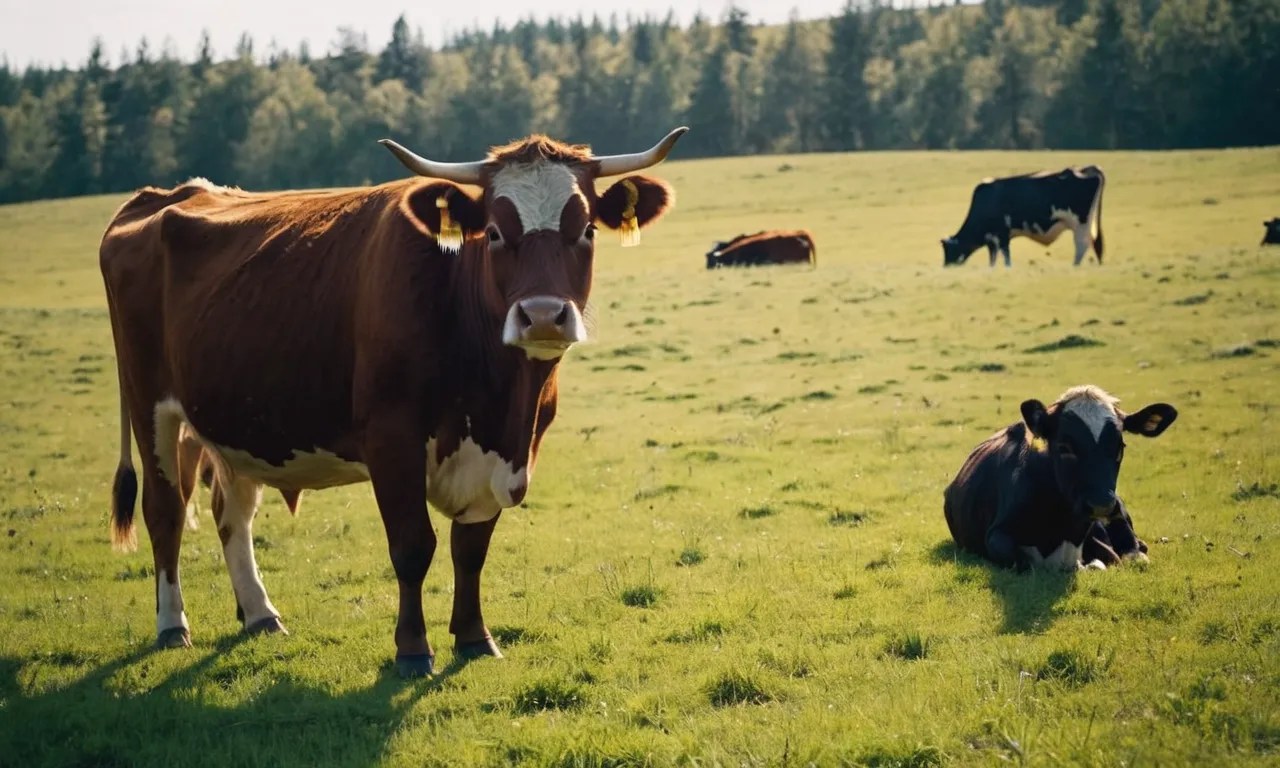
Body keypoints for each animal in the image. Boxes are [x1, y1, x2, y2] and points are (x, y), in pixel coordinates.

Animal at [100, 127, 687, 677]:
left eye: (586, 230)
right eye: (496, 233)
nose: (543, 315)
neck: (497, 396)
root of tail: (164, 196)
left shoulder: (509, 451)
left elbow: (470, 549)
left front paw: (474, 638)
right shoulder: (390, 439)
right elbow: (412, 547)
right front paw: (412, 650)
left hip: (232, 421)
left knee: (232, 512)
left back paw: (261, 614)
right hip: (150, 403)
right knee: (165, 510)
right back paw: (172, 625)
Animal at [942, 166, 1105, 267]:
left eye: (949, 251)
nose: (946, 266)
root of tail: (1085, 170)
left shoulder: (1002, 234)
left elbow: (1005, 255)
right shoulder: (992, 238)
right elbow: (993, 257)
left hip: (1080, 224)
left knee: (1082, 245)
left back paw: (1074, 266)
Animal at [943, 385, 1176, 572]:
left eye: (1120, 446)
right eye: (1064, 447)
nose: (1100, 503)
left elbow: (1110, 558)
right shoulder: (997, 535)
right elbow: (1019, 559)